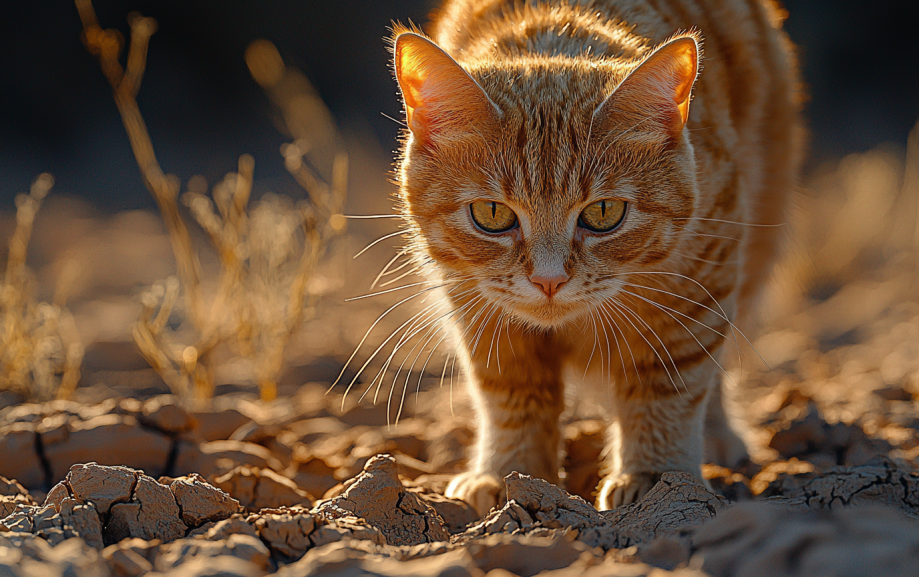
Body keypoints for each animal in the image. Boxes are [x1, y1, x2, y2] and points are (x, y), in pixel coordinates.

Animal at [388, 0, 796, 512]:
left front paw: (656, 478)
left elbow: (669, 381)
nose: (549, 280)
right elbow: (510, 392)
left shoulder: (699, 282)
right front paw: (509, 474)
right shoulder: (473, 303)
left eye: (603, 213)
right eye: (492, 214)